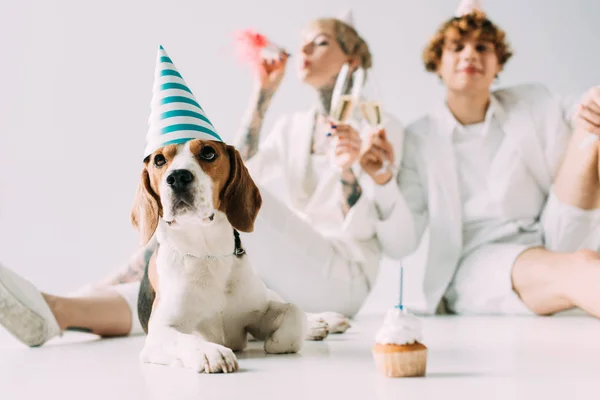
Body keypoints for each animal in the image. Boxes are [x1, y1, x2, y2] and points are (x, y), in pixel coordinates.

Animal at [131, 139, 346, 374]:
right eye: (159, 160)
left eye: (208, 152)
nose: (177, 177)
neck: (208, 254)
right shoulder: (159, 333)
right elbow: (185, 339)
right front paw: (210, 352)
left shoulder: (256, 313)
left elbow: (293, 312)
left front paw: (276, 341)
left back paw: (322, 321)